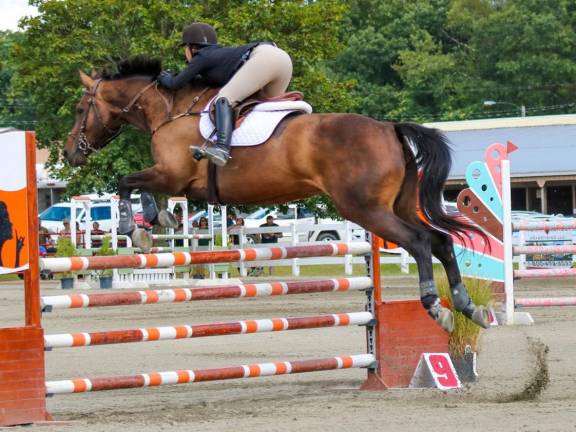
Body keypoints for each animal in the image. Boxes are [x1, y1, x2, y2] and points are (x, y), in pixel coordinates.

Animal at [63, 57, 488, 330]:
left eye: (81, 108)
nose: (70, 154)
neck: (168, 109)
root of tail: (390, 129)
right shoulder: (172, 180)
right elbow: (139, 188)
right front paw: (156, 219)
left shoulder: (173, 175)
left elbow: (126, 182)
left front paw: (134, 228)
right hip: (399, 205)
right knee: (441, 241)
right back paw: (468, 307)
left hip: (366, 209)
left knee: (419, 243)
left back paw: (437, 308)